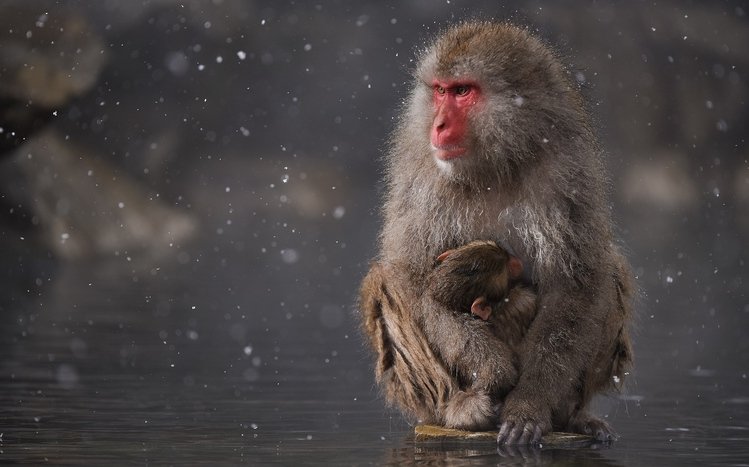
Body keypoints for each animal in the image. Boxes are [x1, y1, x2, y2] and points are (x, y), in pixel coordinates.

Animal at [359, 21, 634, 444]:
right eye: (440, 90)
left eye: (463, 91)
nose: (438, 124)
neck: (495, 162)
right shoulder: (421, 172)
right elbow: (412, 277)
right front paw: (491, 368)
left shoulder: (569, 170)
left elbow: (577, 283)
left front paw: (529, 404)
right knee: (385, 281)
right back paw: (461, 410)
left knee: (610, 271)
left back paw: (572, 417)